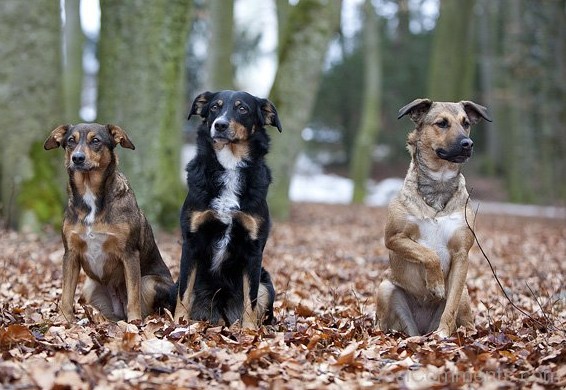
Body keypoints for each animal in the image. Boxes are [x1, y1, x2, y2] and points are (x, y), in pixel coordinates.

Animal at [44, 123, 174, 322]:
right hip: (89, 288)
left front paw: (134, 323)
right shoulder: (71, 253)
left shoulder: (129, 254)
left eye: (96, 141)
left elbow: (133, 297)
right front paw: (65, 321)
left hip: (149, 282)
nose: (77, 158)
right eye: (71, 141)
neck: (90, 194)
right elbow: (66, 295)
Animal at [174, 90, 282, 328]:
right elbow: (183, 293)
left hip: (266, 285)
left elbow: (250, 298)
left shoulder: (253, 248)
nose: (220, 125)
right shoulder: (191, 242)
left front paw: (249, 331)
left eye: (242, 109)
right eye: (215, 107)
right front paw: (177, 325)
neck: (230, 165)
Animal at [378, 99, 492, 336]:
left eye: (466, 123)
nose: (468, 143)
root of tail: (421, 330)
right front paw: (436, 284)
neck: (439, 184)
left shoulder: (461, 254)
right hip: (385, 289)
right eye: (441, 123)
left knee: (466, 317)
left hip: (465, 294)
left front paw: (443, 334)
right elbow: (429, 254)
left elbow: (450, 305)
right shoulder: (394, 237)